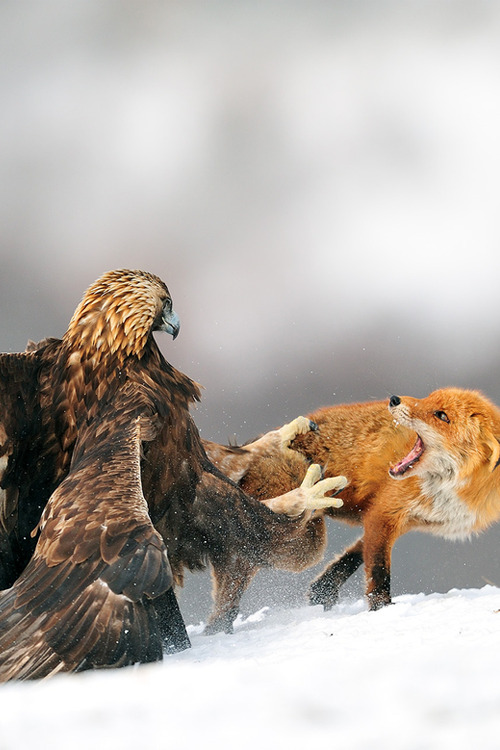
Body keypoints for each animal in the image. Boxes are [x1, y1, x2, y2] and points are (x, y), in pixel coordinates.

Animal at [205, 388, 500, 624]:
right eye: (428, 398)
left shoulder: (395, 517)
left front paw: (324, 590)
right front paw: (382, 611)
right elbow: (378, 572)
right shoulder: (385, 513)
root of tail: (245, 451)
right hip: (305, 545)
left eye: (442, 415)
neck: (451, 491)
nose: (394, 399)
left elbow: (354, 555)